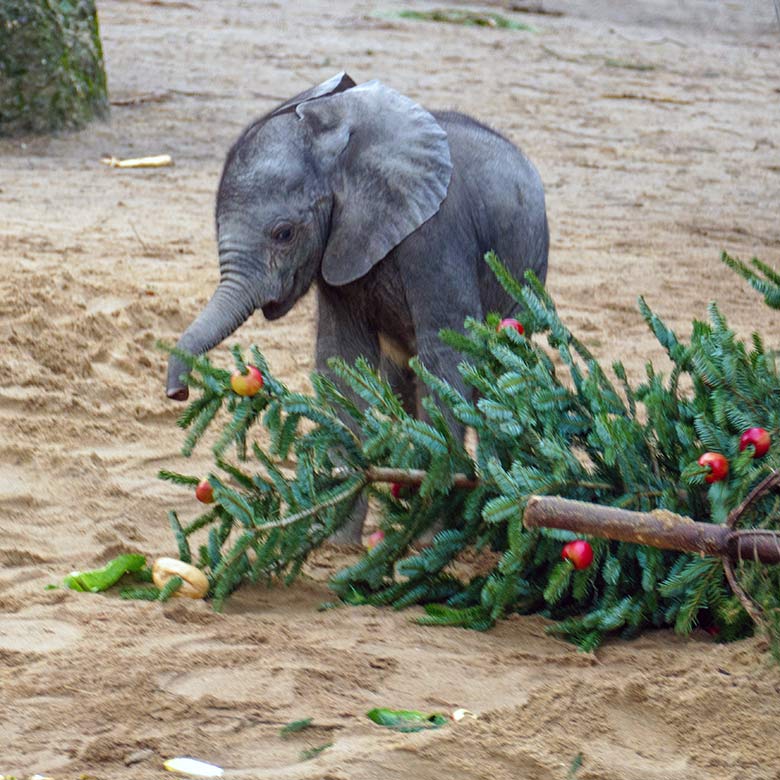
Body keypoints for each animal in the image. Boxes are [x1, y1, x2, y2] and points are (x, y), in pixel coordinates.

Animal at [168, 70, 552, 540]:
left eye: (283, 233)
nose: (179, 392)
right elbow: (343, 360)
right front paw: (338, 539)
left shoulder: (439, 231)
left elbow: (447, 355)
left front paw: (428, 536)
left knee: (496, 379)